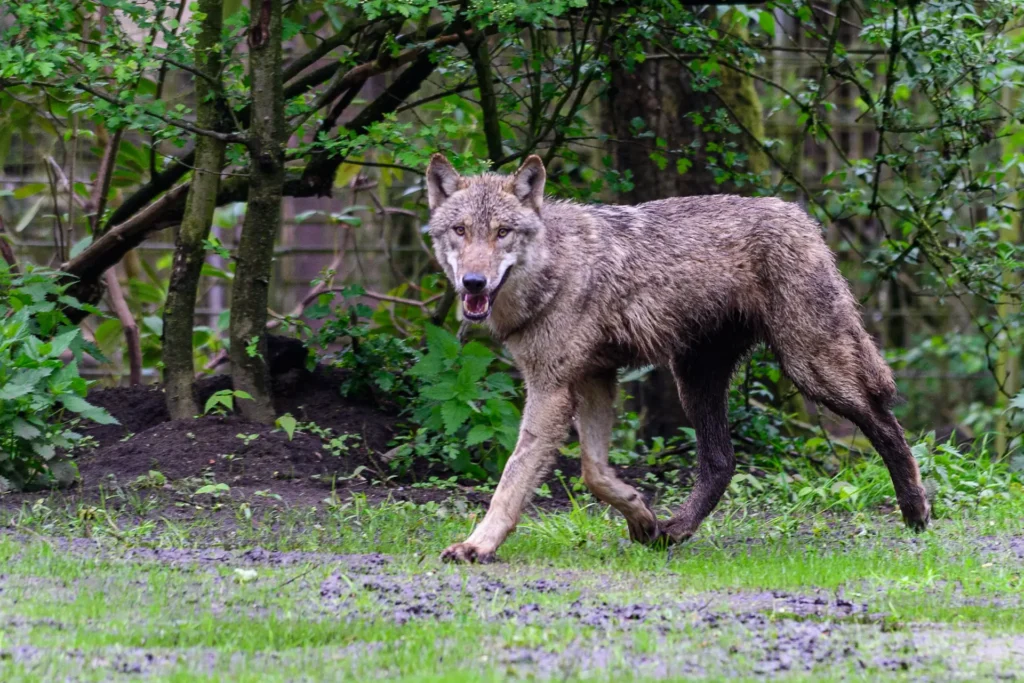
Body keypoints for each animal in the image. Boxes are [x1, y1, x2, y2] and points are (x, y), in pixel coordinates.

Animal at [425, 153, 931, 564]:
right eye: (460, 231)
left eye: (502, 232)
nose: (473, 282)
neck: (557, 268)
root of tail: (797, 214)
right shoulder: (593, 380)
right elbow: (594, 473)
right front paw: (642, 517)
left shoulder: (553, 389)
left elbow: (513, 481)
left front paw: (478, 545)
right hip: (695, 380)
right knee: (722, 461)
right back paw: (675, 531)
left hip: (810, 367)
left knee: (884, 421)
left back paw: (916, 510)